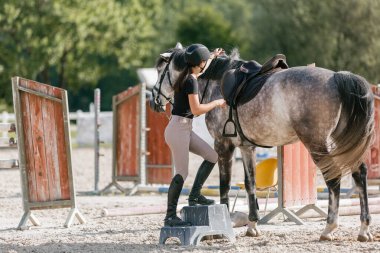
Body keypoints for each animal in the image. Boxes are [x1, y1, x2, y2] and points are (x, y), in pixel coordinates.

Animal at [150, 46, 376, 242]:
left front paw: (224, 226)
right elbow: (250, 183)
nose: (154, 102)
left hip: (318, 145)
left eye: (160, 71)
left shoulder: (223, 145)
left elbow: (225, 184)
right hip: (341, 144)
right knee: (359, 173)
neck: (216, 82)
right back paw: (364, 229)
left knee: (334, 180)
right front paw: (252, 225)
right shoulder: (246, 147)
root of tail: (337, 77)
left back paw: (329, 229)